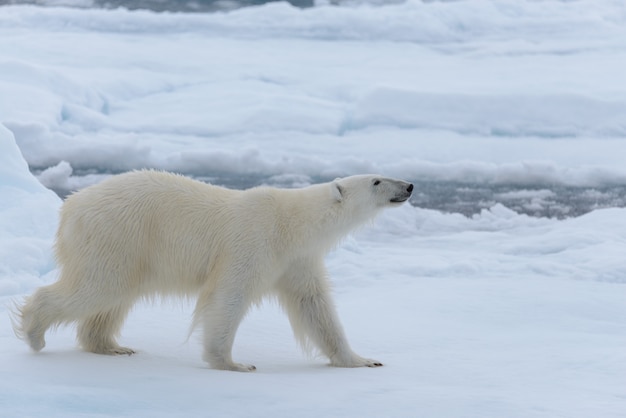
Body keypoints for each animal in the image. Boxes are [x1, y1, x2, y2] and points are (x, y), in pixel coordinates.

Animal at [12, 171, 412, 370]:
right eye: (376, 180)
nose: (409, 185)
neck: (292, 223)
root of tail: (70, 206)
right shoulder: (254, 242)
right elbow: (229, 296)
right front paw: (233, 364)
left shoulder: (297, 260)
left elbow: (315, 307)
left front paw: (363, 360)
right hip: (117, 234)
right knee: (96, 288)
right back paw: (34, 333)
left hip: (128, 249)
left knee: (114, 298)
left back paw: (112, 347)